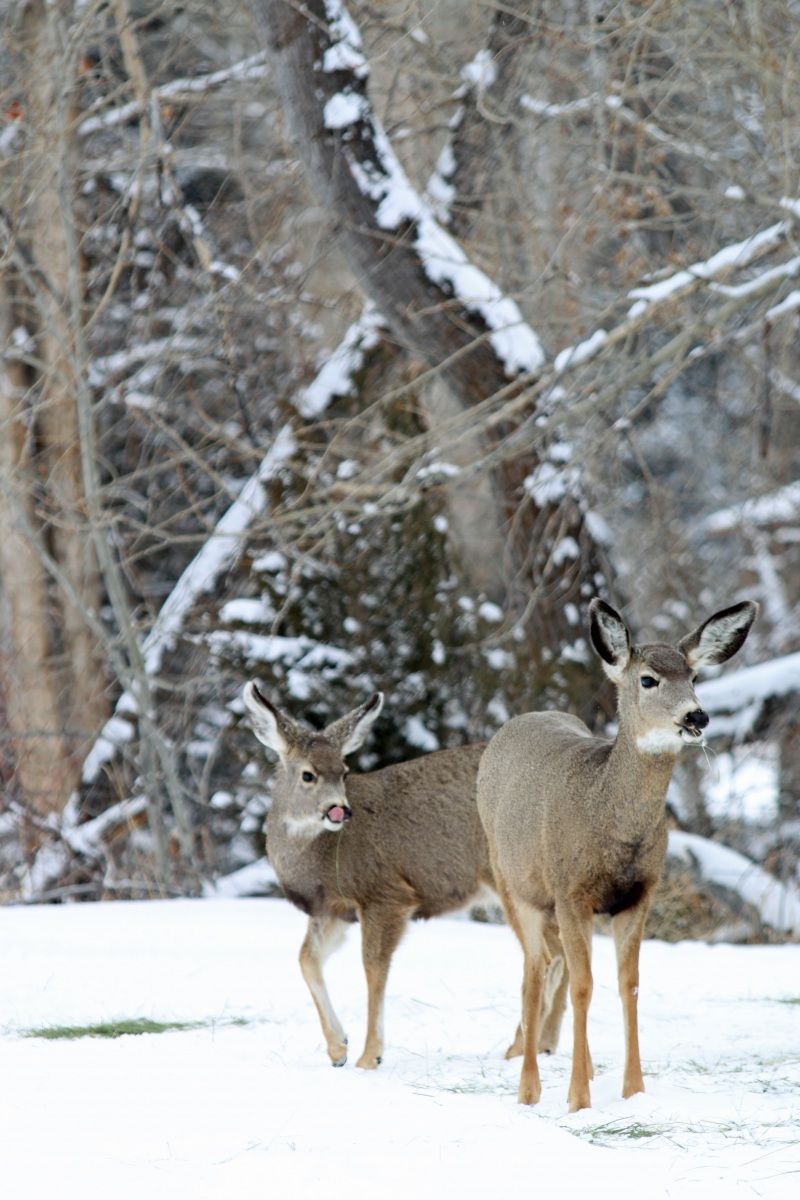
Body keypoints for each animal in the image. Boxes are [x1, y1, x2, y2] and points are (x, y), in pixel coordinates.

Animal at [242, 682, 570, 1071]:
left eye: (344, 770)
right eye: (308, 774)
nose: (340, 810)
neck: (319, 855)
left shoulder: (384, 893)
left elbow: (373, 970)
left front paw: (369, 1056)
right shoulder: (332, 909)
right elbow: (307, 959)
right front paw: (338, 1048)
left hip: (511, 878)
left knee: (547, 958)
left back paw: (520, 1047)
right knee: (563, 953)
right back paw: (545, 1043)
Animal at [477, 597, 758, 1112]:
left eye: (694, 676)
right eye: (648, 679)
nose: (697, 717)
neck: (608, 820)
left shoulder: (637, 896)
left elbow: (629, 984)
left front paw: (633, 1089)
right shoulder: (571, 892)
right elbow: (585, 985)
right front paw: (578, 1099)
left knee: (551, 963)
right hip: (512, 881)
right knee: (534, 970)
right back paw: (528, 1087)